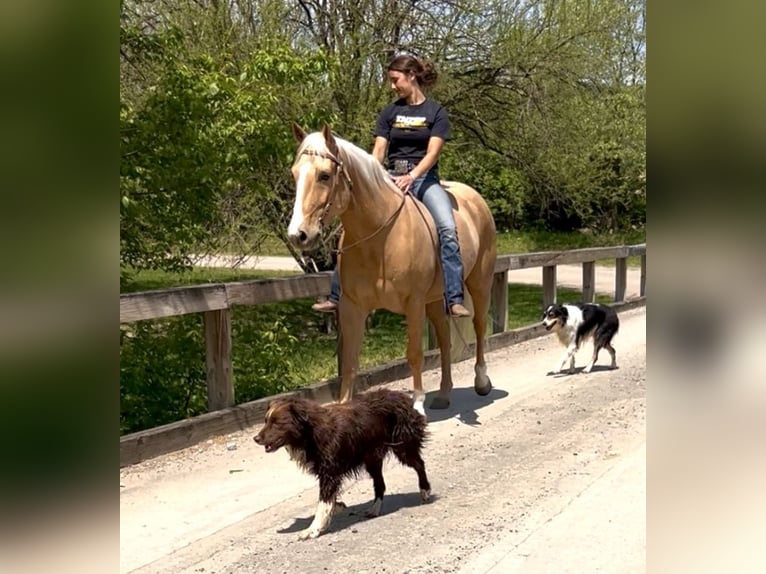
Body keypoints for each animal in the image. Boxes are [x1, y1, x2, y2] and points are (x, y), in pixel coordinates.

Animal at [287, 123, 497, 415]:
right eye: (295, 174)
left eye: (324, 175)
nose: (298, 235)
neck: (381, 237)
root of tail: (476, 200)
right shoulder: (352, 307)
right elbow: (350, 360)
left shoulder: (413, 303)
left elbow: (415, 353)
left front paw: (417, 403)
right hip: (435, 299)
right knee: (444, 339)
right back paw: (444, 394)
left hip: (479, 283)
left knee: (478, 326)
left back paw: (481, 382)